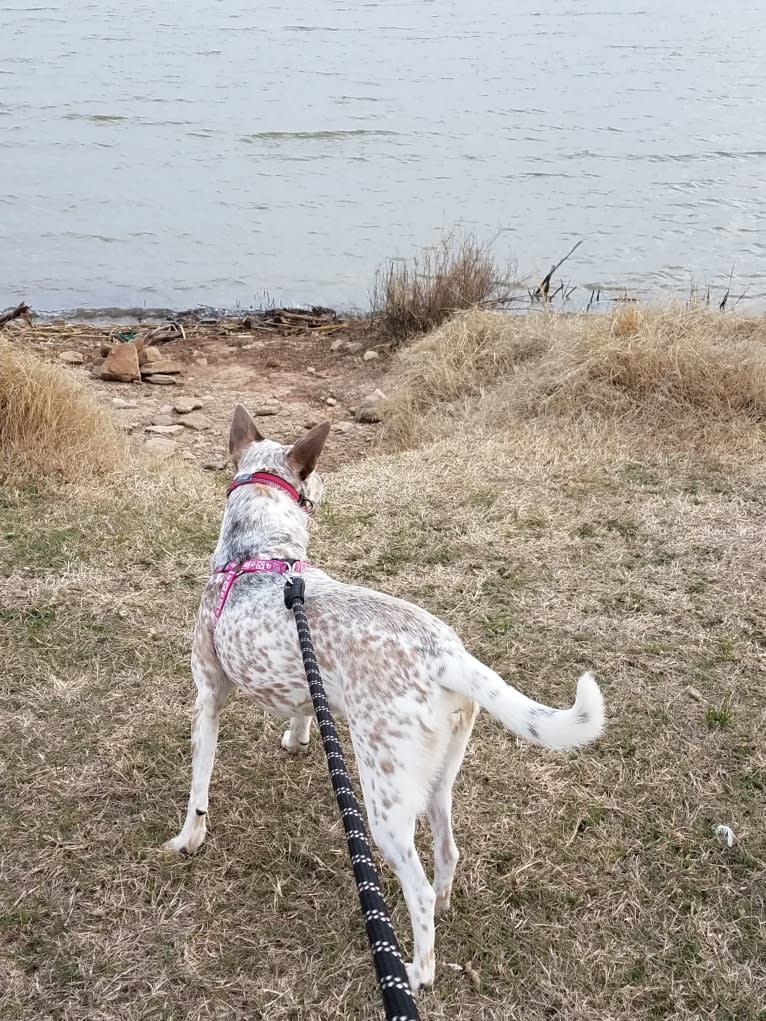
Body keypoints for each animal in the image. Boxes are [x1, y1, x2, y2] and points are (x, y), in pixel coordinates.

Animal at [165, 404, 608, 988]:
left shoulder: (208, 697)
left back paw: (419, 970)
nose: (327, 490)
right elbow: (303, 712)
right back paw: (444, 906)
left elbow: (198, 788)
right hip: (438, 779)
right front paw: (295, 738)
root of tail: (446, 654)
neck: (260, 552)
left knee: (416, 887)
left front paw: (187, 840)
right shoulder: (306, 685)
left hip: (384, 803)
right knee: (448, 852)